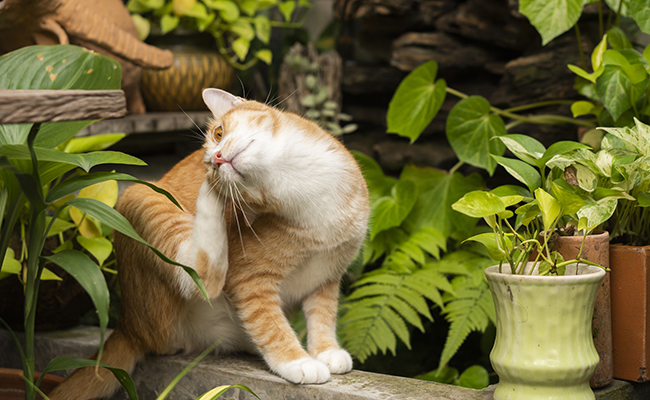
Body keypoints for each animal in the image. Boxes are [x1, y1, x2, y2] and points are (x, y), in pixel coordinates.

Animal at [48, 89, 368, 398]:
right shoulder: (248, 278)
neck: (304, 185)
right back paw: (210, 193)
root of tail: (128, 325)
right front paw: (296, 361)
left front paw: (326, 350)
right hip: (143, 199)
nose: (214, 159)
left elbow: (322, 315)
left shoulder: (326, 277)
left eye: (218, 132)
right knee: (201, 276)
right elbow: (269, 324)